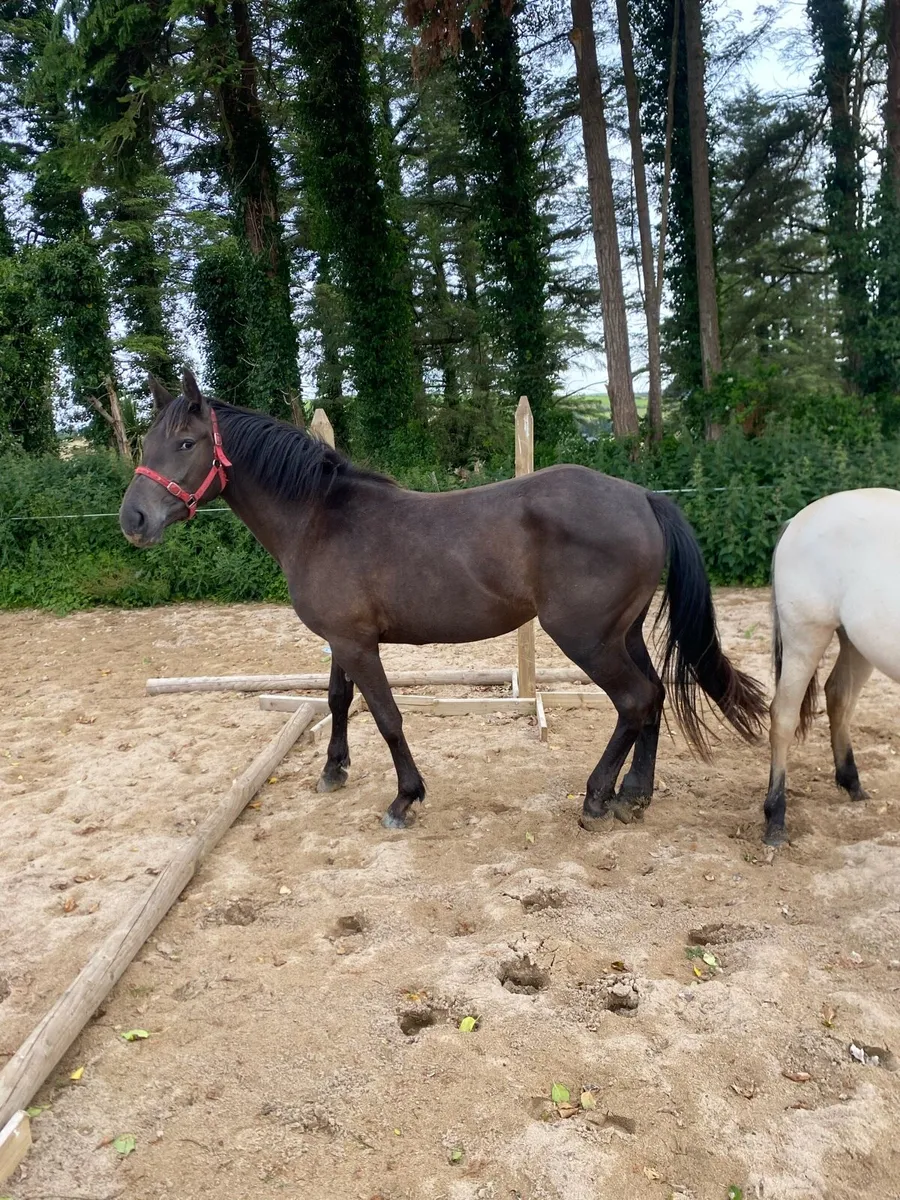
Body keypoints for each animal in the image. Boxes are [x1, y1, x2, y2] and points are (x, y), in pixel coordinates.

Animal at [119, 371, 766, 831]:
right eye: (147, 442)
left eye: (186, 442)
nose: (134, 520)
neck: (320, 518)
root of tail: (643, 497)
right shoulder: (342, 640)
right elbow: (336, 700)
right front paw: (333, 770)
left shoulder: (358, 645)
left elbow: (387, 716)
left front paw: (405, 798)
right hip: (622, 633)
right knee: (654, 696)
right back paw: (635, 795)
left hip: (586, 639)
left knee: (634, 700)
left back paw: (597, 797)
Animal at [764, 487, 900, 845]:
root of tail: (797, 520)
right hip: (805, 637)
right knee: (783, 717)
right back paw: (775, 818)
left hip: (857, 643)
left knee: (839, 696)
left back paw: (852, 783)